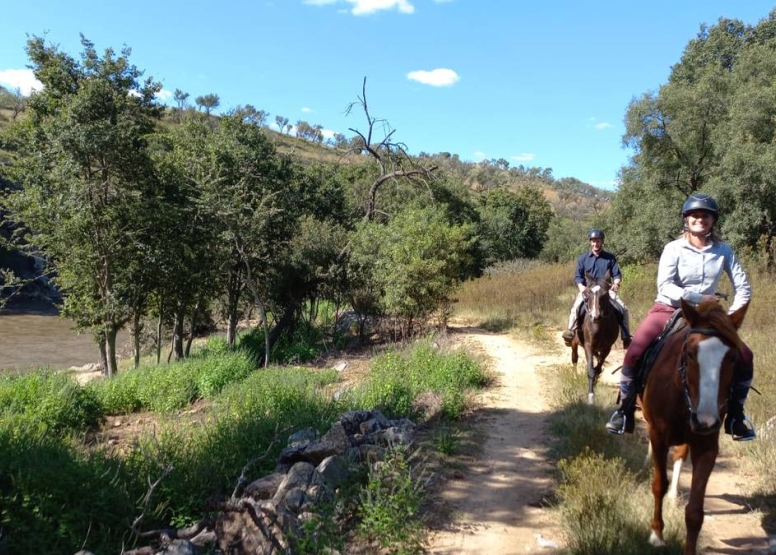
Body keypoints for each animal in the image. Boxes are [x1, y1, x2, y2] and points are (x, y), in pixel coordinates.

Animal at [572, 272, 620, 404]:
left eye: (605, 294)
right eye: (588, 293)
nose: (596, 317)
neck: (600, 326)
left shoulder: (607, 348)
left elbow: (598, 366)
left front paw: (597, 377)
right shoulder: (588, 346)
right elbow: (590, 370)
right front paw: (591, 396)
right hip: (575, 343)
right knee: (574, 358)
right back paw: (575, 376)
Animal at [640, 300, 748, 555]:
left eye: (732, 358)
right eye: (689, 354)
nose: (705, 420)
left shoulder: (707, 447)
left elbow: (695, 512)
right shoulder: (658, 436)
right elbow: (658, 484)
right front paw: (656, 534)